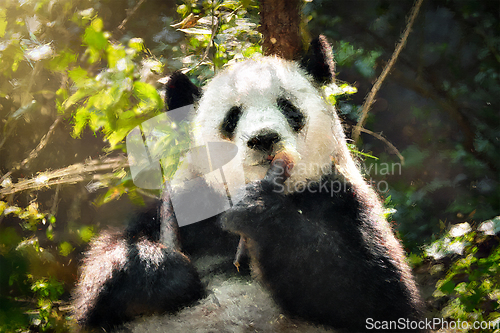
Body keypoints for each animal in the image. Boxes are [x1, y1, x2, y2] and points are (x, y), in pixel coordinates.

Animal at [73, 36, 426, 332]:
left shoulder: (340, 196)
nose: (264, 139)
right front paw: (163, 271)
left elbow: (375, 295)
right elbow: (106, 268)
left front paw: (259, 211)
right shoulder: (190, 204)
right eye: (232, 117)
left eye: (288, 107)